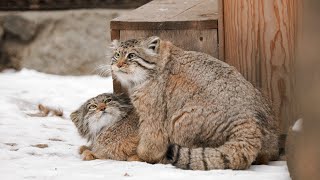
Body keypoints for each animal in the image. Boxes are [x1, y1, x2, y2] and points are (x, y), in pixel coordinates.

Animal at [110, 36, 280, 170]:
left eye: (131, 55)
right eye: (117, 55)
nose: (117, 65)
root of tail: (249, 122)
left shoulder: (153, 115)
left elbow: (151, 142)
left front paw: (141, 157)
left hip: (179, 120)